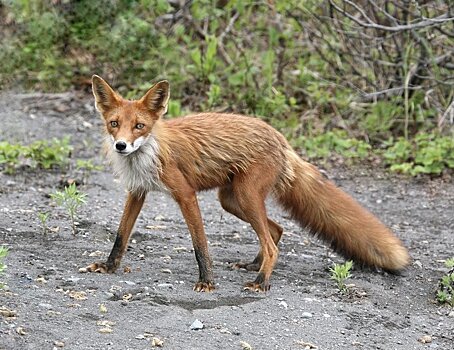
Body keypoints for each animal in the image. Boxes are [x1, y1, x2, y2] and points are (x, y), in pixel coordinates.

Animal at [81, 76, 412, 292]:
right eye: (114, 124)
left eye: (139, 126)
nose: (121, 145)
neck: (148, 153)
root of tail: (280, 138)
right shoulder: (137, 191)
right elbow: (121, 236)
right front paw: (109, 267)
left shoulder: (185, 194)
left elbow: (200, 244)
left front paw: (207, 282)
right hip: (232, 200)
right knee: (276, 231)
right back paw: (255, 267)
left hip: (246, 196)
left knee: (272, 243)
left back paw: (261, 282)